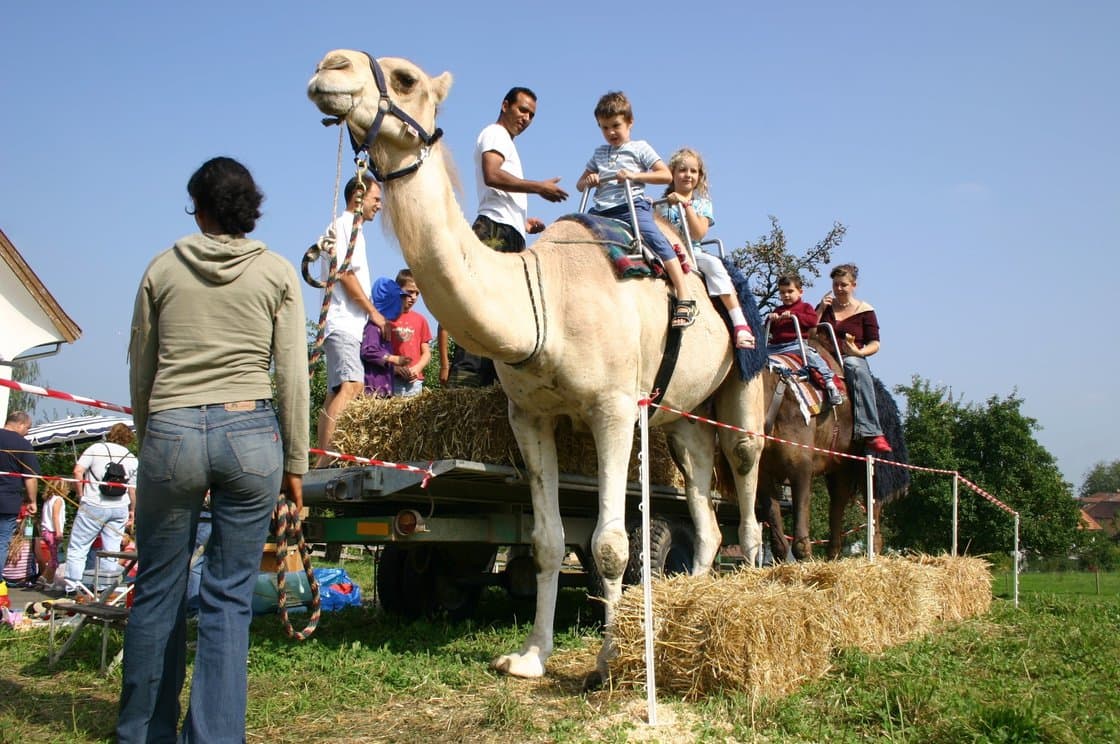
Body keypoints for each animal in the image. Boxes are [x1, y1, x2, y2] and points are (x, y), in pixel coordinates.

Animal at [307, 50, 767, 682]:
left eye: (405, 79)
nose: (330, 68)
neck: (542, 300)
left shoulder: (613, 407)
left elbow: (609, 545)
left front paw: (606, 662)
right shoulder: (529, 416)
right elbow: (548, 540)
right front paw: (530, 656)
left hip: (746, 383)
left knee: (746, 482)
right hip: (682, 417)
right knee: (702, 493)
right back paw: (688, 604)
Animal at [756, 338, 910, 560]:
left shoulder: (801, 464)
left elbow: (800, 521)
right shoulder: (763, 471)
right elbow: (774, 520)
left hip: (867, 461)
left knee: (872, 500)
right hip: (841, 466)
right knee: (839, 501)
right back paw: (834, 554)